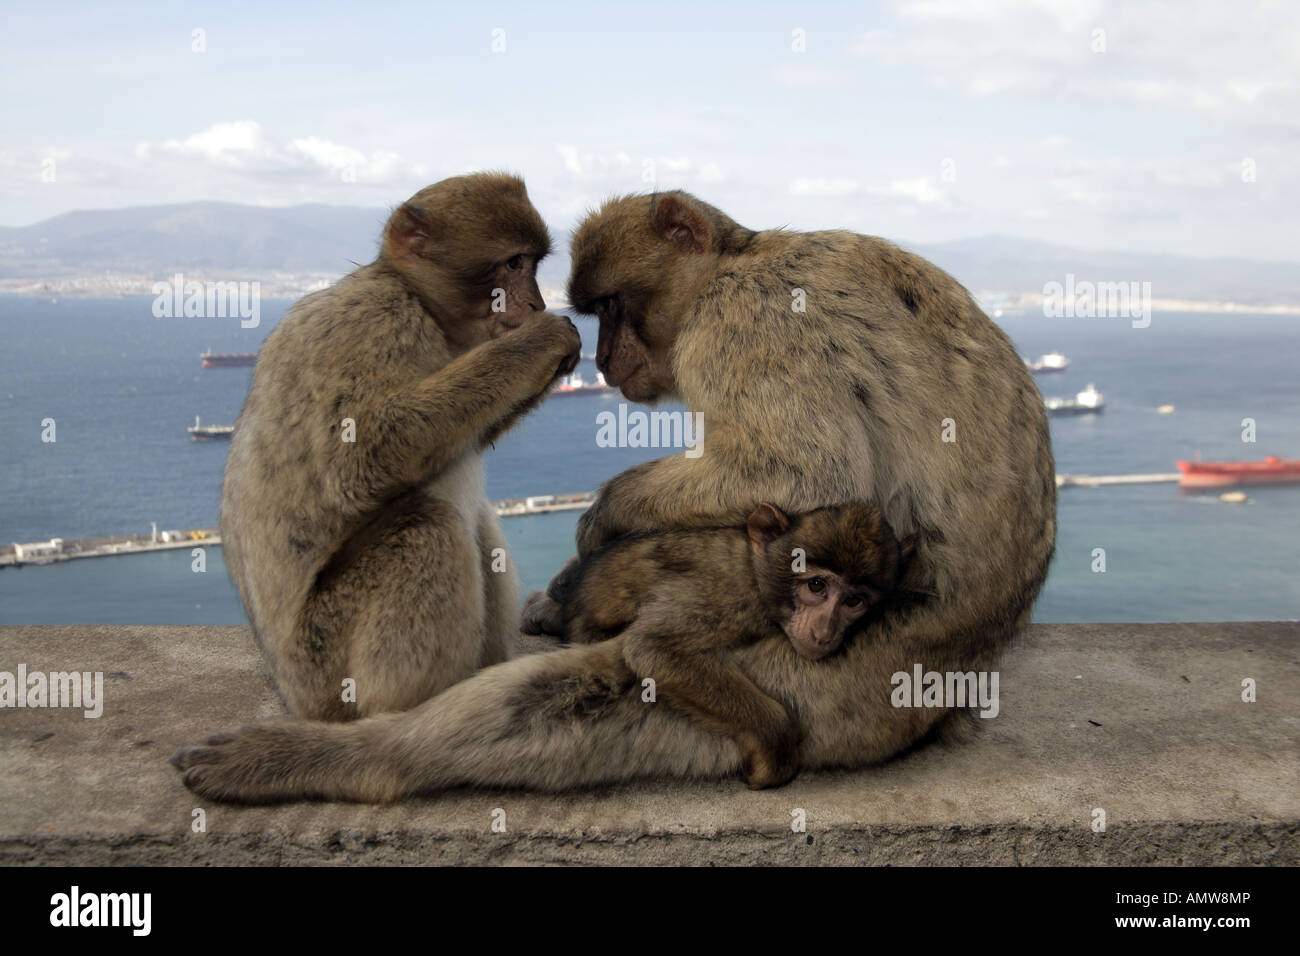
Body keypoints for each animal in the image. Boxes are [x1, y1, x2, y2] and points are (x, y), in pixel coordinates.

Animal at [219, 175, 579, 723]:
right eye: (515, 263)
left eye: (533, 264)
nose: (535, 304)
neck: (419, 301)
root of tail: (291, 693)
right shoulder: (379, 322)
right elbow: (360, 459)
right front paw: (542, 341)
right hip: (326, 659)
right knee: (427, 526)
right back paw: (411, 714)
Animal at [559, 504, 915, 790]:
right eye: (816, 585)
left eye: (854, 601)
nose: (824, 631)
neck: (756, 575)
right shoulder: (727, 596)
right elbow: (652, 647)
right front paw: (777, 745)